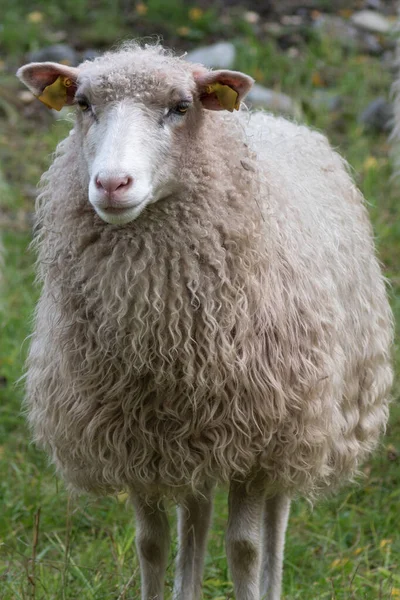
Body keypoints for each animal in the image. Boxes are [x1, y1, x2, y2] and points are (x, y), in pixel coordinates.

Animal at [17, 43, 392, 600]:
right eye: (83, 103)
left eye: (180, 106)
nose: (111, 183)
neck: (162, 333)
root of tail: (269, 118)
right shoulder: (136, 439)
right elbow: (151, 545)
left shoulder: (261, 438)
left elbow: (245, 548)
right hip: (195, 433)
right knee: (196, 515)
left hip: (301, 418)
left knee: (274, 521)